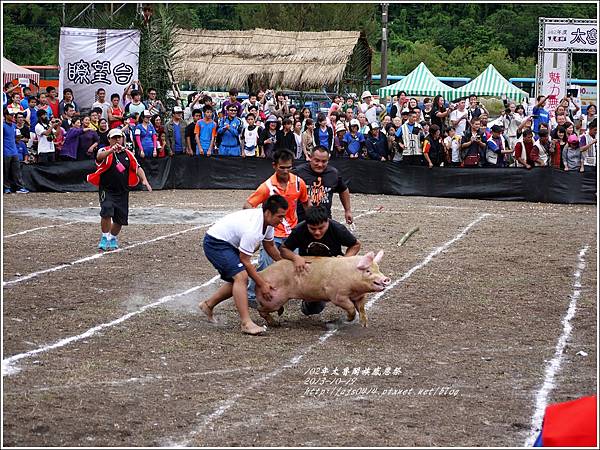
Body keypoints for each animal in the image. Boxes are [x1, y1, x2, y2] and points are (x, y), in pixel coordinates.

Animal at [253, 250, 390, 326]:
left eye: (378, 268)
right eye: (368, 271)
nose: (386, 279)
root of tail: (261, 274)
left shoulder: (360, 296)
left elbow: (361, 308)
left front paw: (364, 324)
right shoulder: (337, 296)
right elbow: (351, 308)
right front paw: (348, 319)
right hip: (273, 300)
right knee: (260, 309)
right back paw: (276, 324)